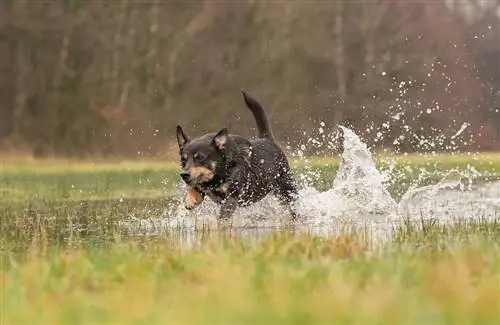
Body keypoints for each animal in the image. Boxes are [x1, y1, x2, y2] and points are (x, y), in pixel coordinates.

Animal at [177, 89, 296, 220]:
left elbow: (223, 216)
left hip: (287, 191)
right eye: (183, 160)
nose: (184, 174)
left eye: (200, 158)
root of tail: (267, 139)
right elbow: (194, 188)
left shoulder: (232, 197)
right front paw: (190, 199)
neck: (221, 170)